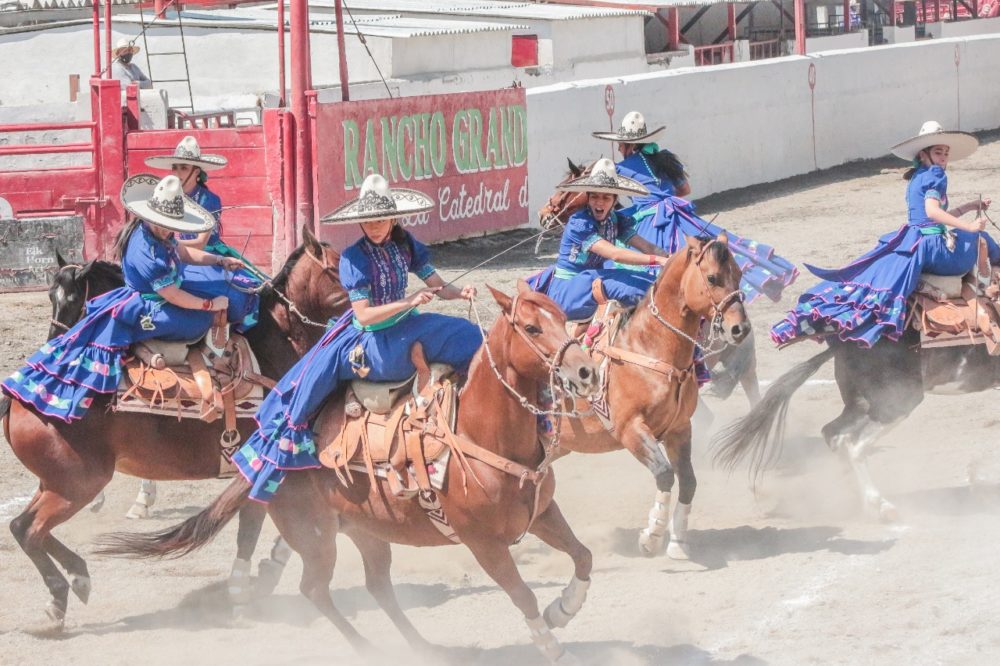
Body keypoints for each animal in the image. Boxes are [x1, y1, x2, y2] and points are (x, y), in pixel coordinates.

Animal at [0, 228, 350, 632]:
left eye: (72, 299)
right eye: (342, 269)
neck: (275, 344)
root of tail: (18, 398)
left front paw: (263, 572)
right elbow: (252, 528)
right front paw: (245, 590)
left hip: (55, 483)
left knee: (23, 527)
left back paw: (77, 578)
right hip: (77, 484)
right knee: (28, 529)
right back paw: (59, 600)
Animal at [97, 282, 596, 660]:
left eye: (562, 316)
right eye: (531, 327)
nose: (586, 370)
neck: (479, 435)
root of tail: (262, 459)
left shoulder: (541, 514)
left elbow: (583, 555)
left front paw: (564, 609)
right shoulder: (483, 543)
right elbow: (522, 593)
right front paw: (551, 644)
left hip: (367, 531)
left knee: (379, 588)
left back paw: (424, 647)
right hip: (317, 539)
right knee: (315, 590)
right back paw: (369, 648)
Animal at [552, 236, 752, 556]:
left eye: (740, 275)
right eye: (712, 277)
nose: (740, 329)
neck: (646, 346)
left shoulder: (679, 428)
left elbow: (688, 480)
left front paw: (678, 541)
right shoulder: (630, 429)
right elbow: (664, 473)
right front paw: (652, 536)